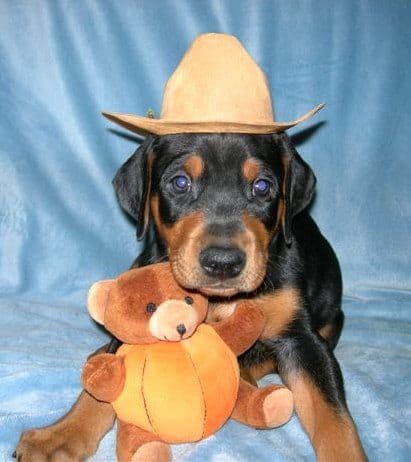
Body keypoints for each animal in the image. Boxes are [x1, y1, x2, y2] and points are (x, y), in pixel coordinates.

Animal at [15, 131, 366, 462]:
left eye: (262, 186)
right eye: (180, 183)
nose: (222, 263)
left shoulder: (301, 339)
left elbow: (333, 417)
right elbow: (100, 389)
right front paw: (58, 437)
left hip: (331, 319)